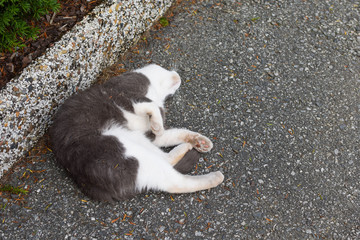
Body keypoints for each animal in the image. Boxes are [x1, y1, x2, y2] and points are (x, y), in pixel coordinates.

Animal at [51, 64, 224, 202]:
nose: (178, 78)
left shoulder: (149, 134)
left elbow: (171, 134)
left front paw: (199, 140)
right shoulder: (126, 96)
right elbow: (152, 107)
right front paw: (158, 123)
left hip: (134, 140)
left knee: (166, 160)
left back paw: (190, 145)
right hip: (119, 148)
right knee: (173, 182)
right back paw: (215, 177)